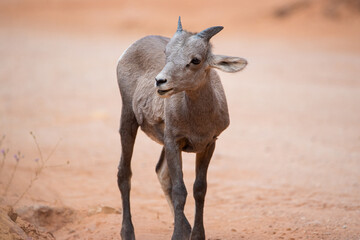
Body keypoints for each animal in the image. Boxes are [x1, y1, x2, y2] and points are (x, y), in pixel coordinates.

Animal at [116, 17, 246, 240]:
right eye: (166, 53)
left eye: (196, 60)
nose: (160, 82)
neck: (197, 119)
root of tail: (129, 49)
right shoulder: (173, 143)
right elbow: (180, 190)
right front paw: (178, 235)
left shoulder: (208, 145)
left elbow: (199, 189)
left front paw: (196, 235)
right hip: (128, 119)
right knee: (124, 174)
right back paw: (128, 233)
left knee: (160, 171)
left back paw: (185, 227)